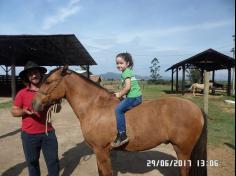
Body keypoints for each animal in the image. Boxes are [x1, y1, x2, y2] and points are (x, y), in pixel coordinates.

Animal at [32, 66, 206, 176]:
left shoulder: (101, 150)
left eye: (48, 82)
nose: (34, 104)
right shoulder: (98, 151)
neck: (94, 107)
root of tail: (196, 108)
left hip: (182, 150)